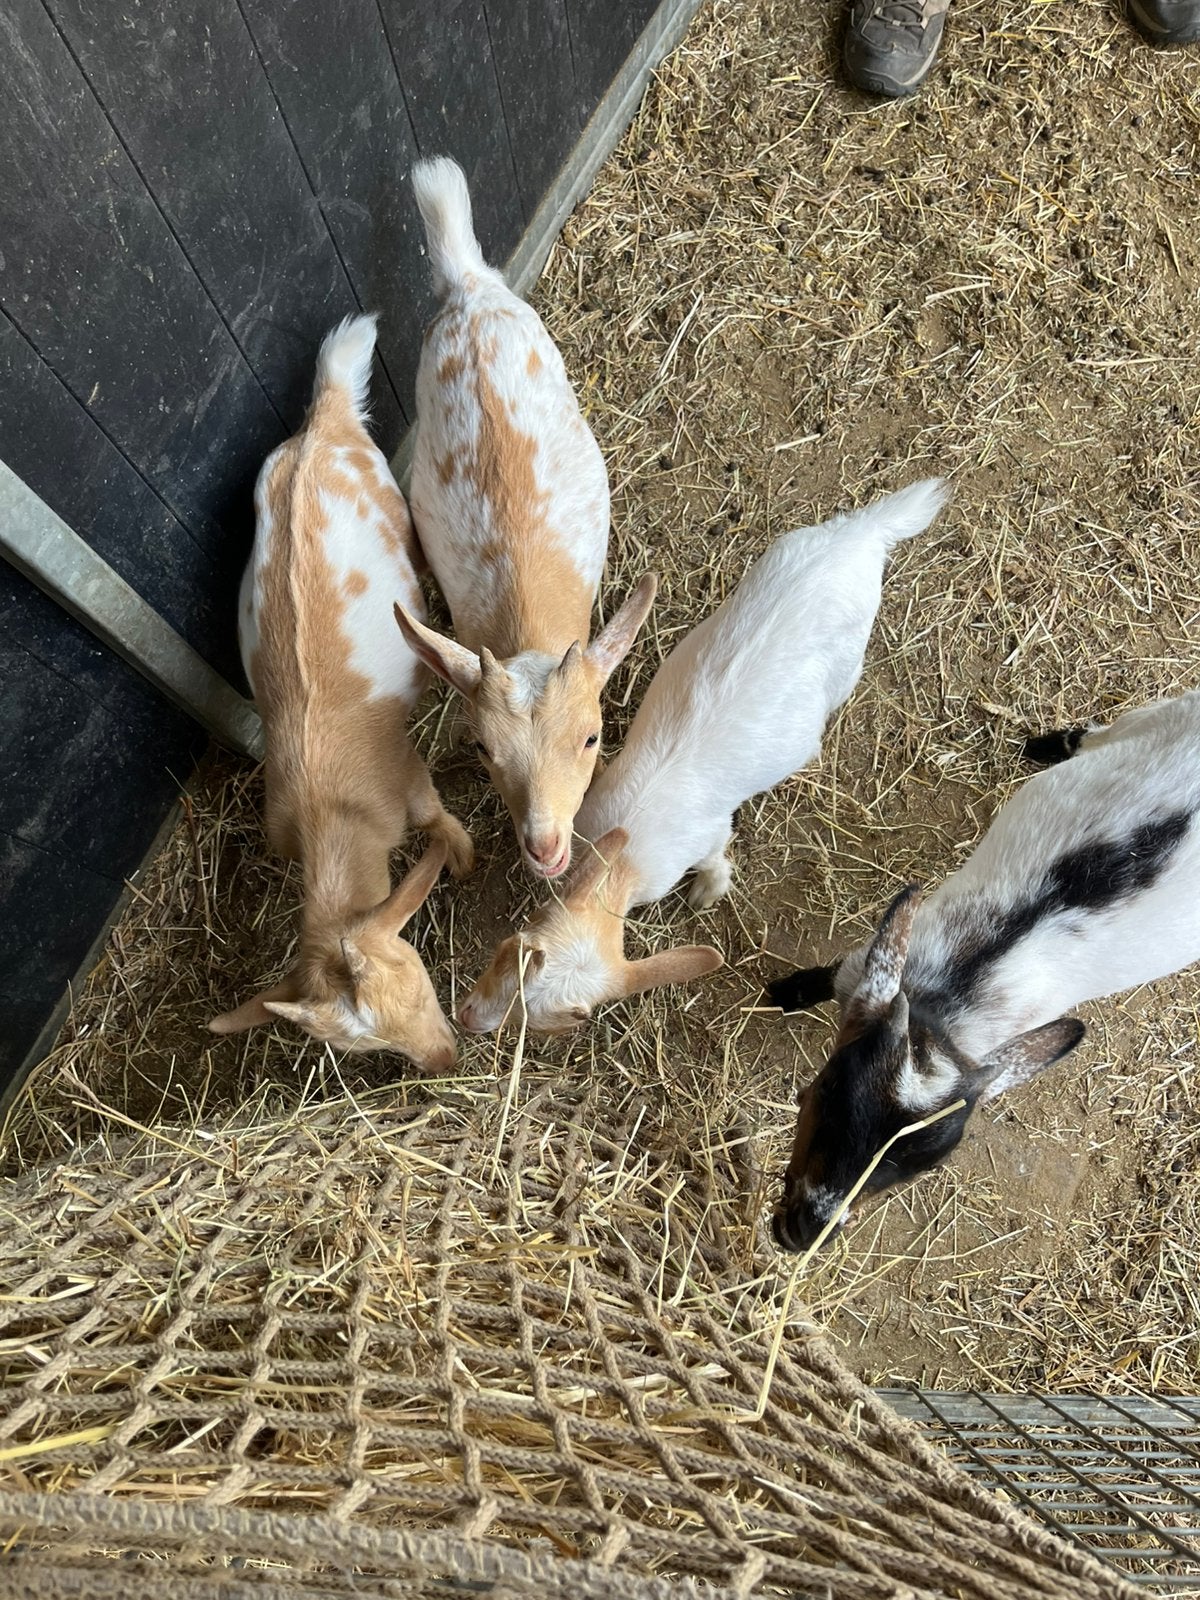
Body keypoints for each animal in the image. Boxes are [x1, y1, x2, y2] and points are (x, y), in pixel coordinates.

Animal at [209, 314, 473, 1070]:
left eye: (417, 977)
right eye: (371, 1045)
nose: (444, 1062)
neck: (331, 816)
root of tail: (323, 419)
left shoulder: (407, 775)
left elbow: (440, 820)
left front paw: (463, 863)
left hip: (393, 500)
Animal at [459, 478, 948, 1036]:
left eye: (564, 1017)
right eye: (510, 946)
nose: (467, 1017)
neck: (624, 861)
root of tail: (865, 531)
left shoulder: (707, 838)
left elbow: (717, 857)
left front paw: (707, 893)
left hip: (851, 656)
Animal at [768, 689, 1200, 1253]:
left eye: (922, 1167)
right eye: (827, 1090)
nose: (805, 1230)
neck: (953, 995)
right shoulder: (875, 962)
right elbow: (830, 977)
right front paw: (785, 991)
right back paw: (1046, 746)